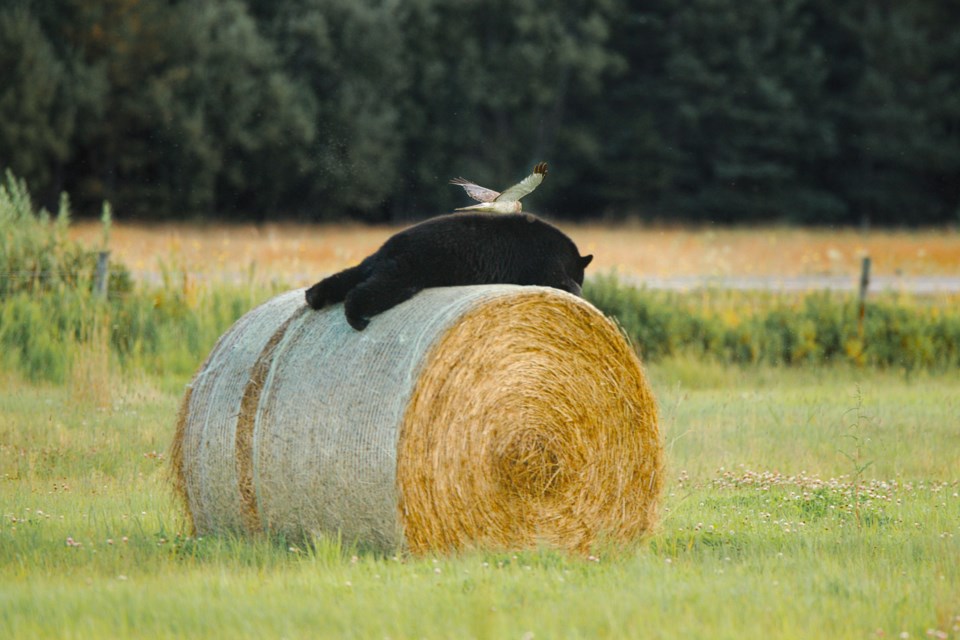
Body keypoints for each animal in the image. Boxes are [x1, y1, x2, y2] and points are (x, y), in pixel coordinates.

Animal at [308, 212, 592, 330]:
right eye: (582, 276)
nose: (581, 281)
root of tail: (387, 247)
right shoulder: (542, 259)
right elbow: (557, 280)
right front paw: (577, 293)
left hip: (377, 263)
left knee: (346, 277)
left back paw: (313, 296)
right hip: (410, 267)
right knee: (376, 289)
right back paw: (357, 317)